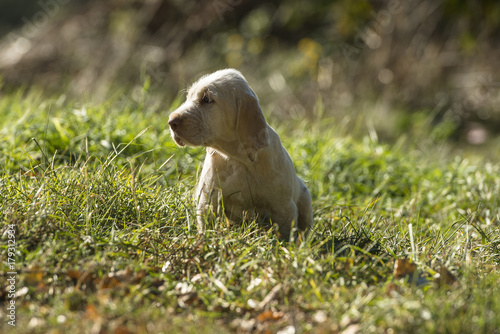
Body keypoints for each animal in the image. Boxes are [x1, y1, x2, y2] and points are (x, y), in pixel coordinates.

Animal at [168, 68, 312, 240]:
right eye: (188, 97)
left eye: (207, 99)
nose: (171, 122)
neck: (236, 159)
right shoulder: (208, 201)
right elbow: (206, 229)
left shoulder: (283, 208)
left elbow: (285, 236)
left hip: (305, 197)